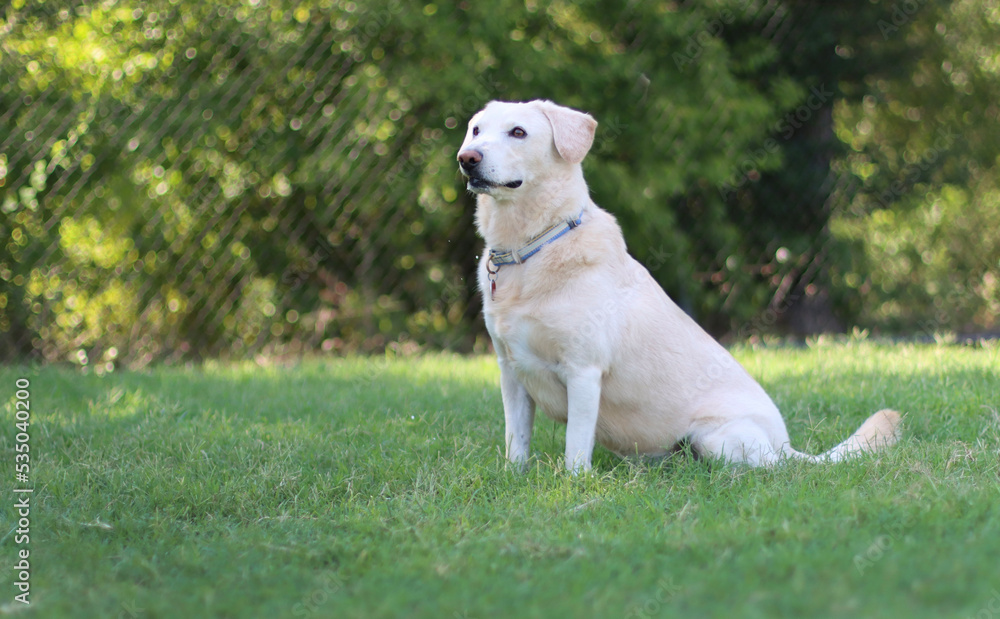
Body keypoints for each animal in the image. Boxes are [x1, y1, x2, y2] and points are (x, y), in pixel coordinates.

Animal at [458, 99, 904, 472]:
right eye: (476, 130)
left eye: (518, 132)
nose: (467, 159)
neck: (528, 249)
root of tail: (787, 446)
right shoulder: (511, 372)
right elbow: (516, 440)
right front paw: (513, 478)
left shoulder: (583, 372)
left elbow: (575, 448)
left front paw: (572, 485)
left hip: (717, 439)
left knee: (770, 471)